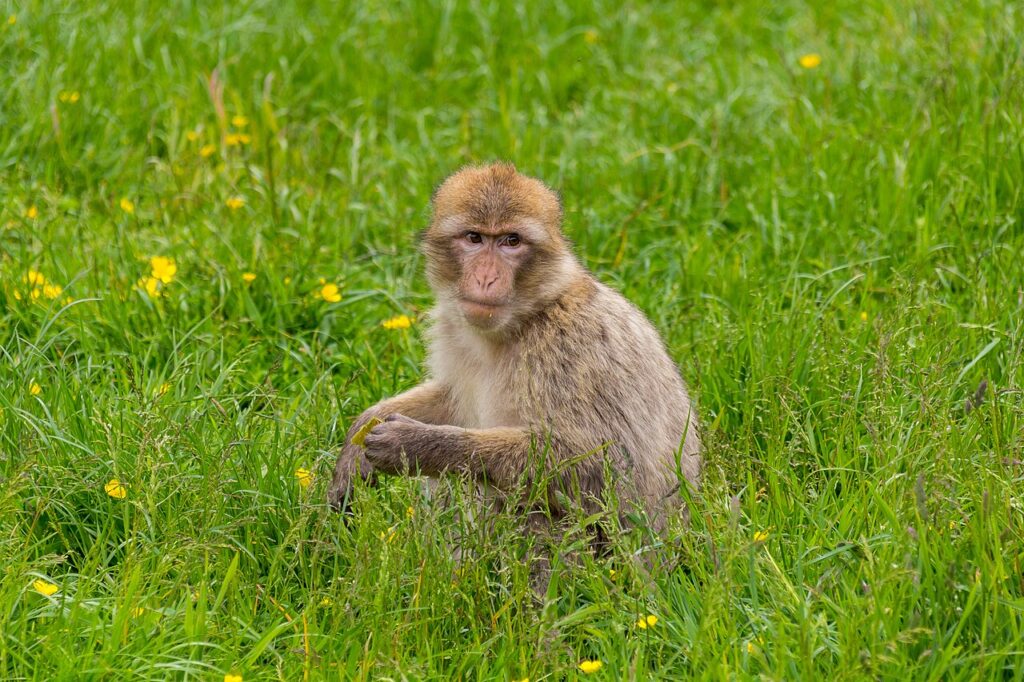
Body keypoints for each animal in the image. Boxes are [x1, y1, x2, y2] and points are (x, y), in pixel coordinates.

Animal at [327, 163, 701, 583]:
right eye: (474, 238)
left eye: (511, 241)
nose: (486, 278)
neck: (521, 322)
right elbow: (451, 400)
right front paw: (362, 432)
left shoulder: (569, 349)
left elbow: (599, 464)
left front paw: (415, 444)